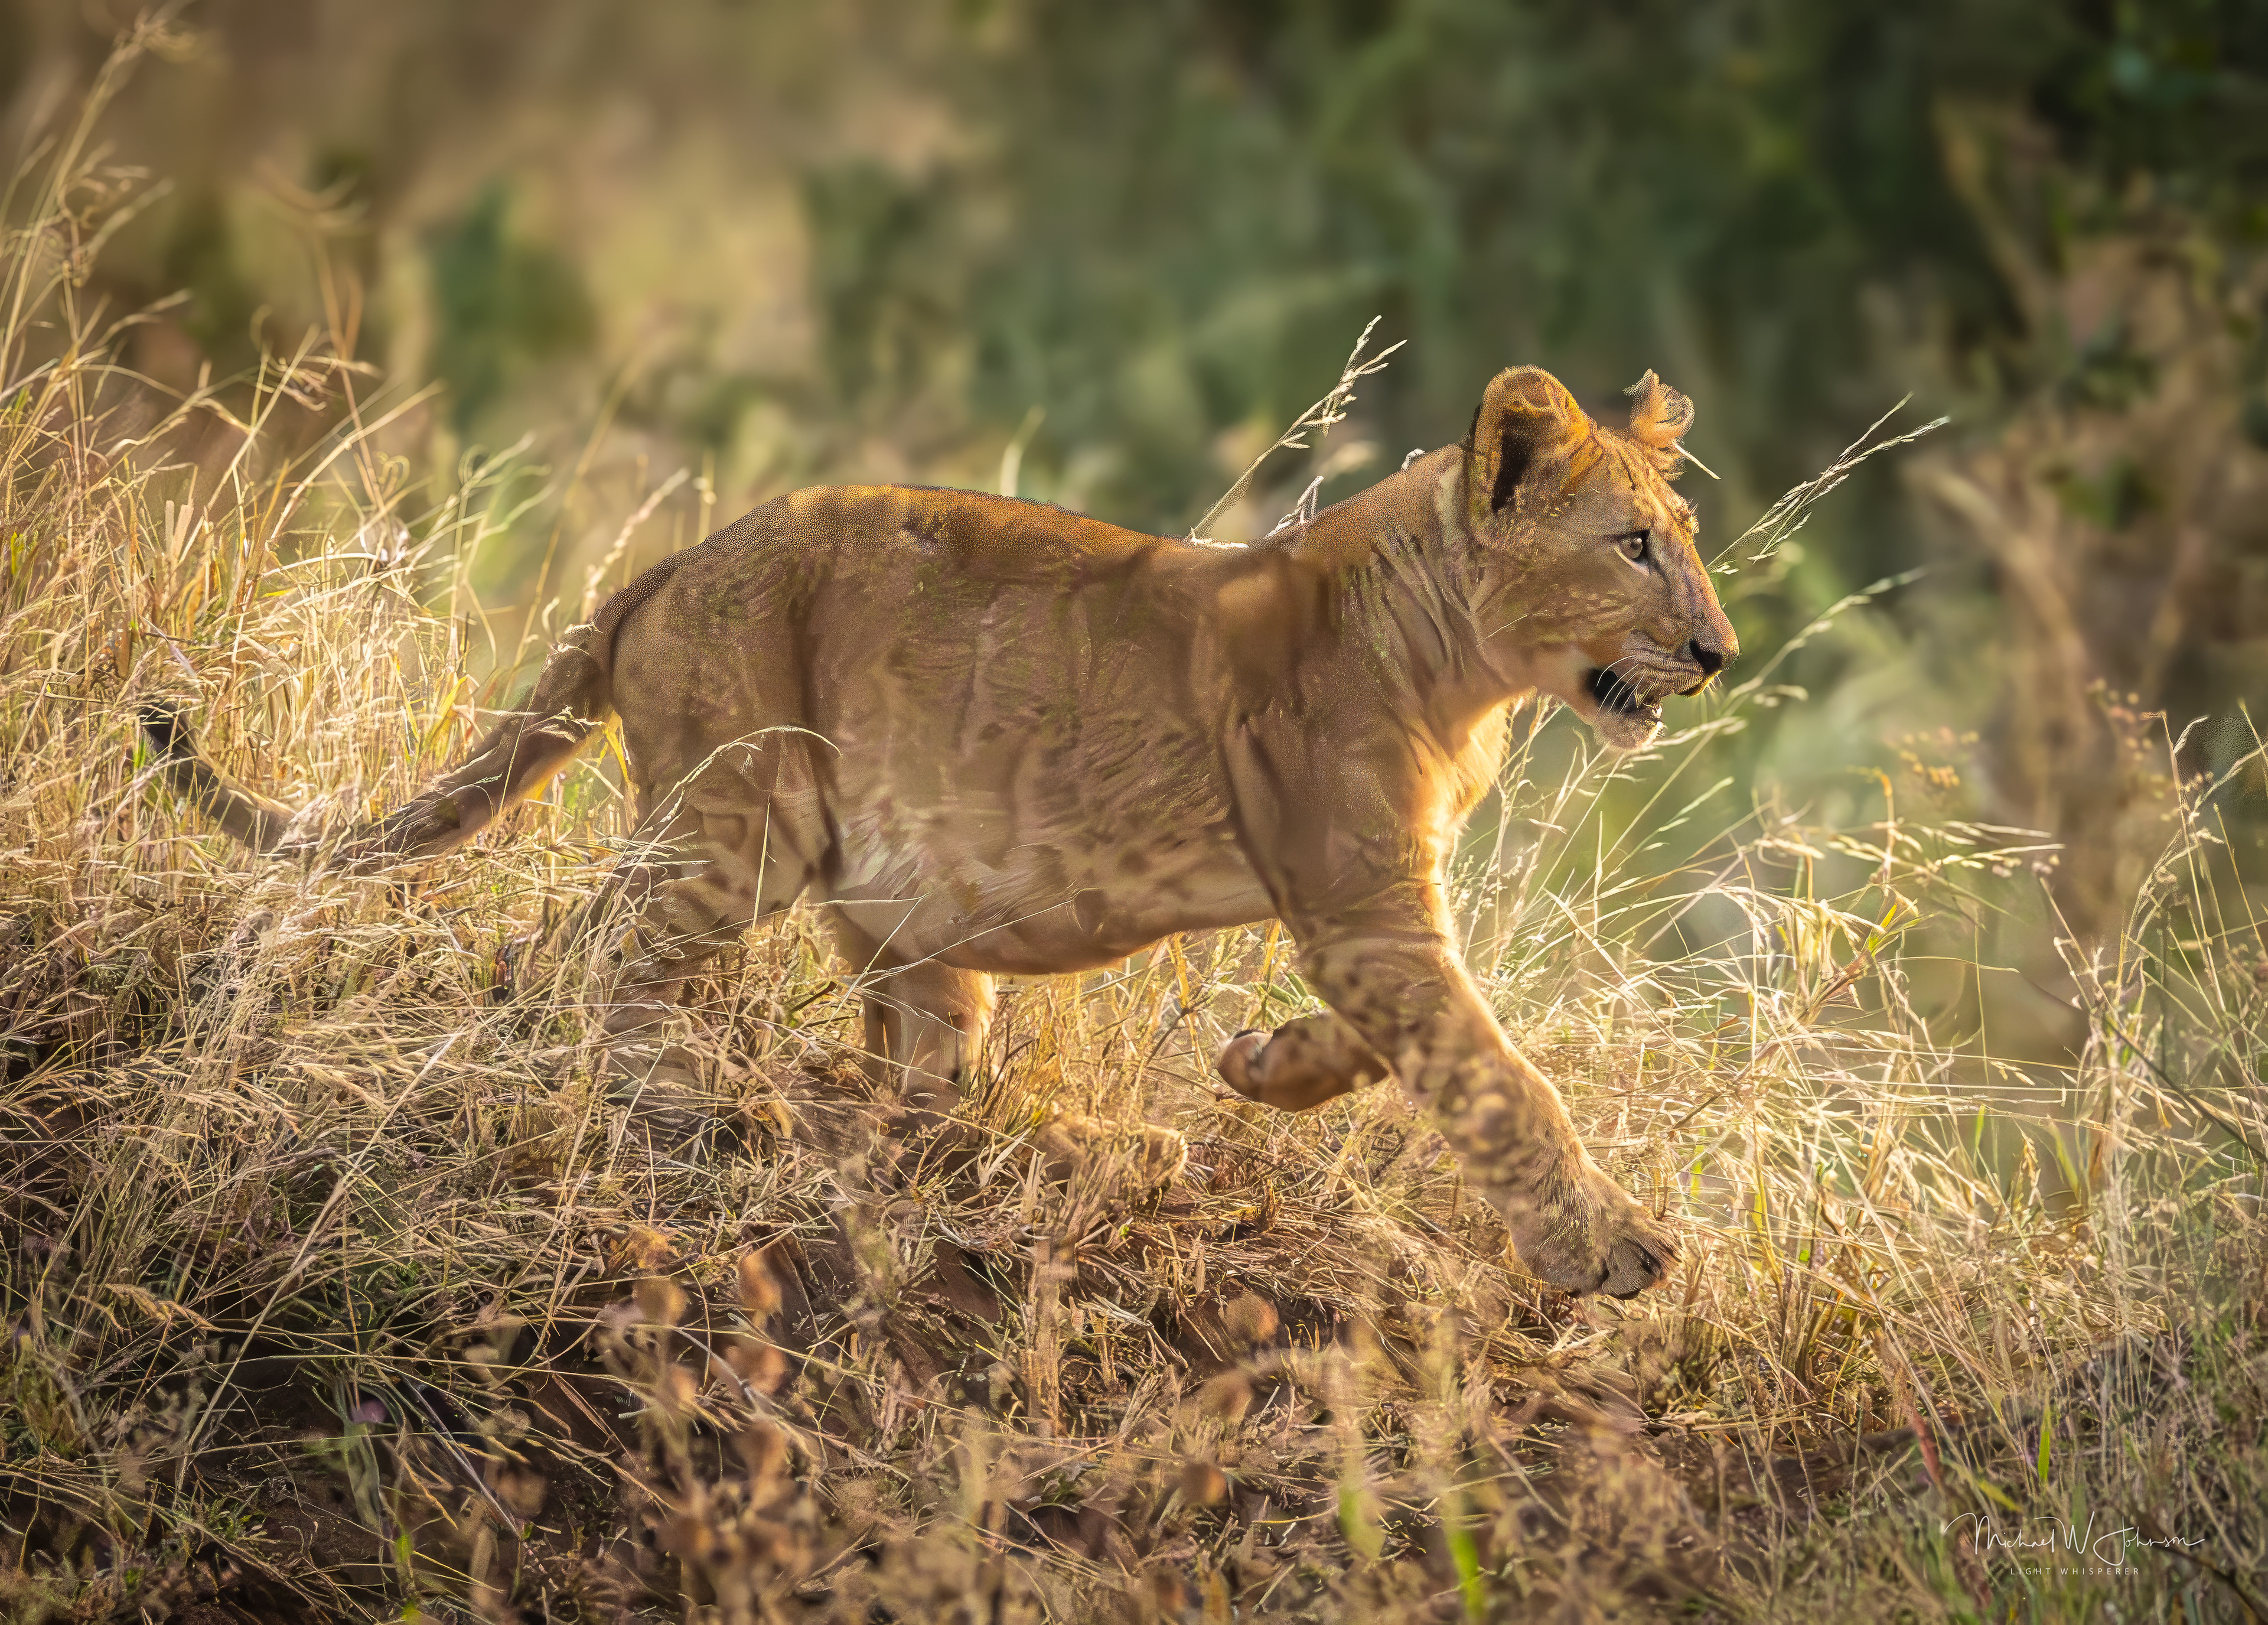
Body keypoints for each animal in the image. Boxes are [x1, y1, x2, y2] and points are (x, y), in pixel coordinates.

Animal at [143, 364, 1734, 1298]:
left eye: (1687, 543)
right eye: (1632, 547)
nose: (1717, 653)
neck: (1468, 669)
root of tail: (663, 564)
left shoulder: (1376, 914)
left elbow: (1409, 1044)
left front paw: (1261, 1064)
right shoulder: (1364, 906)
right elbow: (1497, 1073)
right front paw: (1612, 1248)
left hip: (898, 904)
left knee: (916, 1078)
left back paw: (1042, 1152)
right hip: (741, 815)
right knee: (577, 955)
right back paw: (686, 1099)